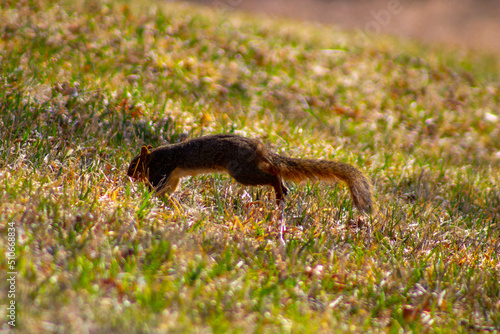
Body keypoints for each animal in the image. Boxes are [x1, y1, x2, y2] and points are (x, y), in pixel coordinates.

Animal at [127, 134, 374, 213]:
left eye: (134, 164)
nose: (128, 175)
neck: (155, 156)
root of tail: (259, 148)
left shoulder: (161, 169)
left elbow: (156, 188)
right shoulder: (173, 176)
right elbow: (168, 192)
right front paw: (174, 204)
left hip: (241, 171)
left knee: (270, 177)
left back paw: (279, 192)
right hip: (250, 167)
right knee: (275, 171)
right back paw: (282, 190)